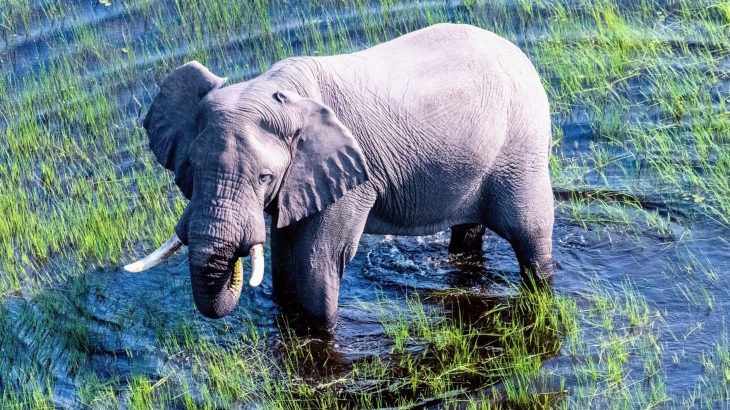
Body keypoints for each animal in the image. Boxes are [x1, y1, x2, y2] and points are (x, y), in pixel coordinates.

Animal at [124, 23, 554, 331]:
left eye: (264, 177)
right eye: (191, 171)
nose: (235, 269)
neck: (274, 90)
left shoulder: (352, 179)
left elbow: (316, 261)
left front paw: (321, 333)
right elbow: (285, 260)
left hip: (522, 147)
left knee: (530, 234)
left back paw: (541, 287)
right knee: (468, 231)